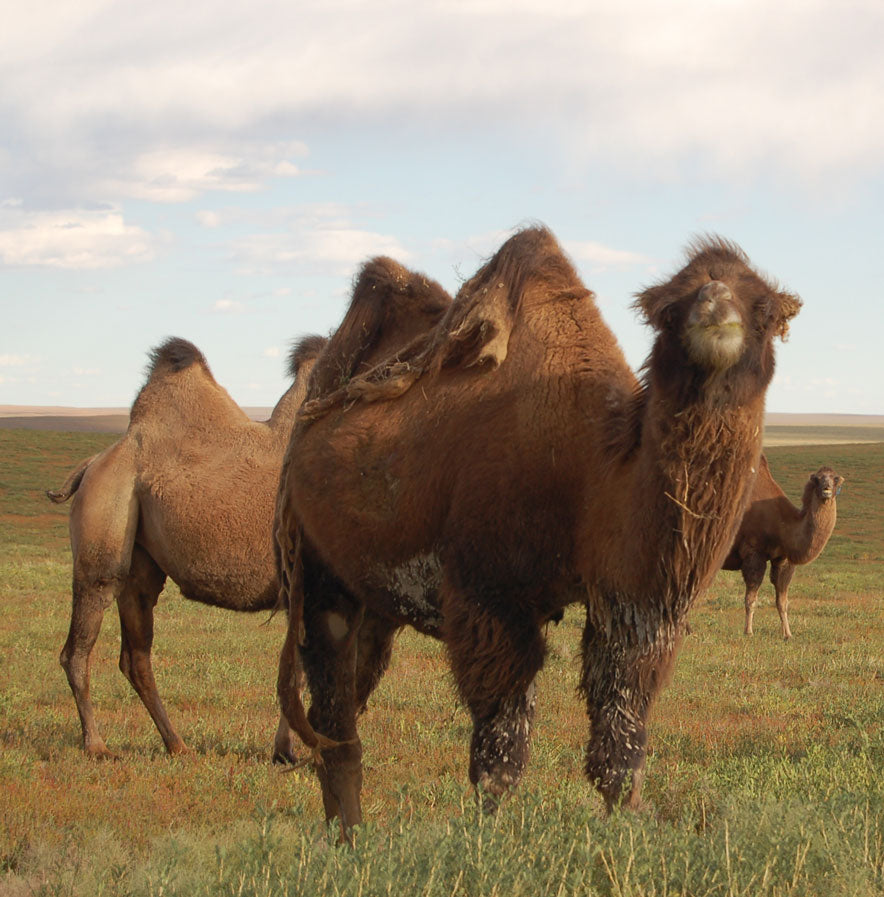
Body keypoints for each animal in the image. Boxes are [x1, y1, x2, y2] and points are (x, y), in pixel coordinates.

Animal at [48, 334, 324, 756]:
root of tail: (95, 462)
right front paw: (298, 752)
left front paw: (290, 750)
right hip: (105, 521)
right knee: (80, 641)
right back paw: (97, 746)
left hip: (140, 565)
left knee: (135, 656)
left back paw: (176, 743)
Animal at [274, 226, 800, 832]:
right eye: (672, 308)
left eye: (764, 306)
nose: (715, 306)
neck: (588, 473)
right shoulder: (490, 596)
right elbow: (500, 760)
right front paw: (485, 839)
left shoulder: (635, 609)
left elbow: (620, 751)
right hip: (317, 568)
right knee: (334, 716)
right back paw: (348, 835)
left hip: (376, 593)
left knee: (346, 706)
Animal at [720, 456, 840, 636]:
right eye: (818, 479)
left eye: (835, 478)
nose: (826, 489)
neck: (782, 524)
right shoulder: (754, 553)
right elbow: (751, 598)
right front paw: (748, 631)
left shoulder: (782, 558)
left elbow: (782, 601)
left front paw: (787, 634)